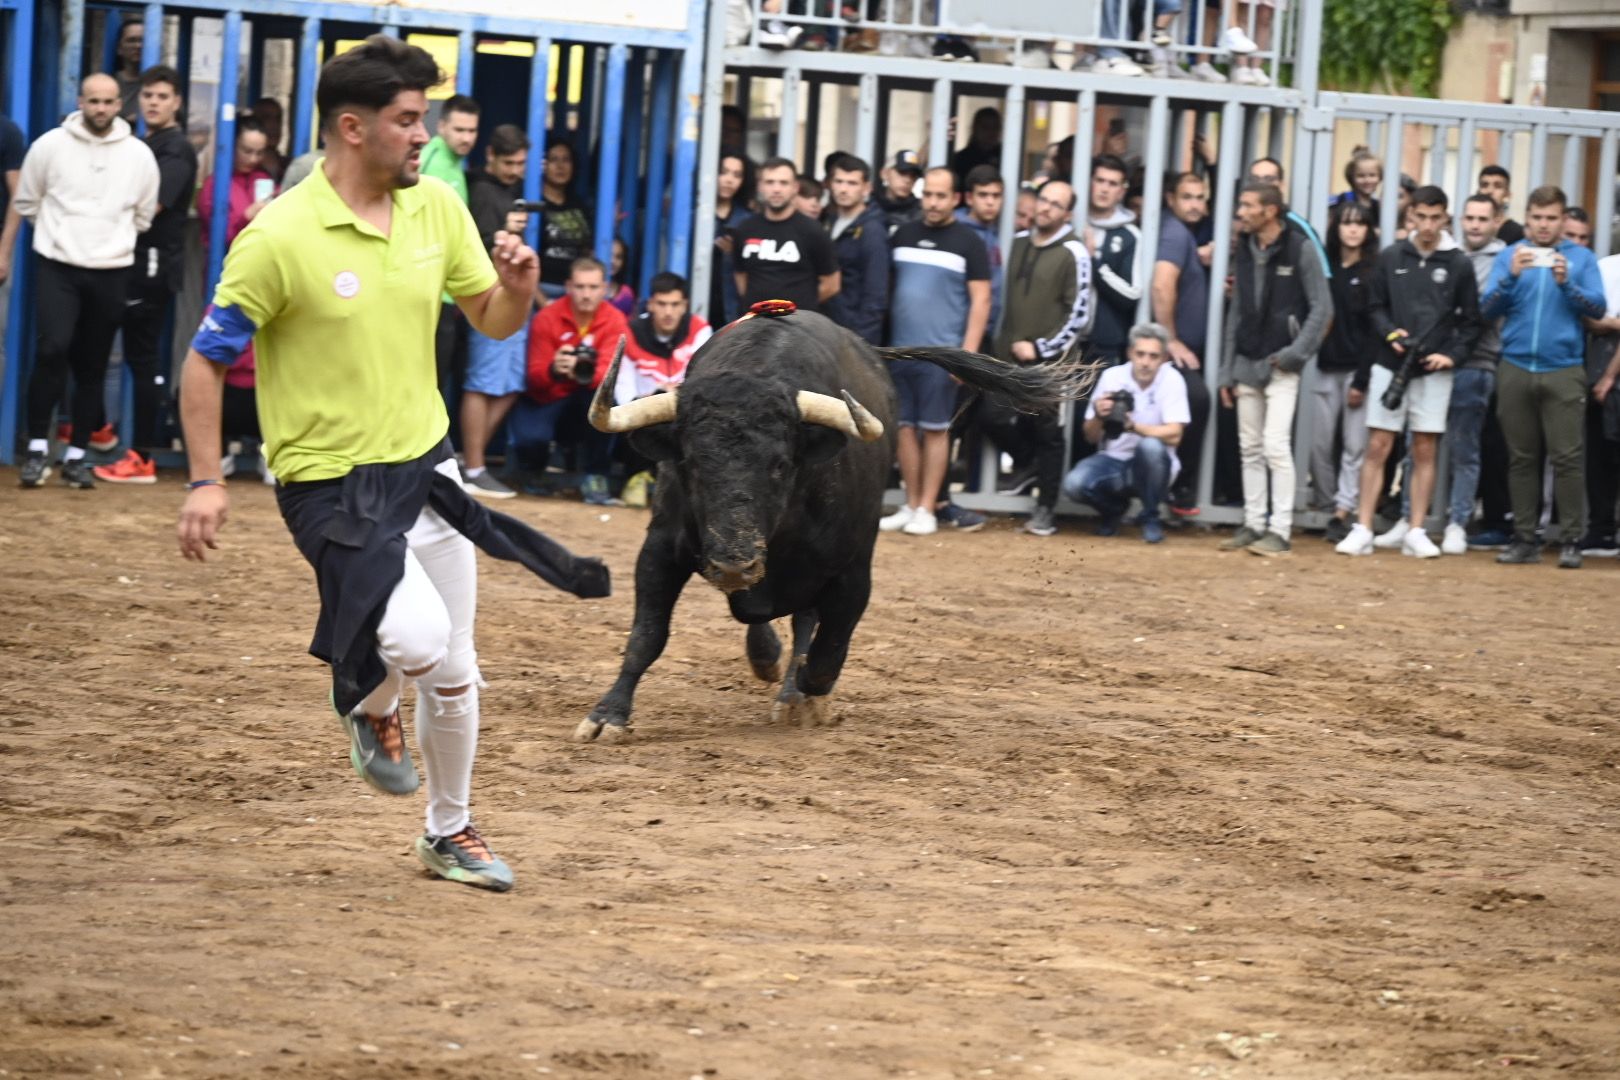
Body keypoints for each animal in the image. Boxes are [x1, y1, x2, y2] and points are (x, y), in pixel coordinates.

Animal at [570, 307, 1088, 738]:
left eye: (781, 464)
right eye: (692, 463)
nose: (736, 564)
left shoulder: (852, 573)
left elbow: (825, 652)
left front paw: (806, 694)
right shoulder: (660, 550)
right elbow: (647, 636)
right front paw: (608, 715)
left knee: (806, 627)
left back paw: (791, 690)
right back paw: (768, 659)